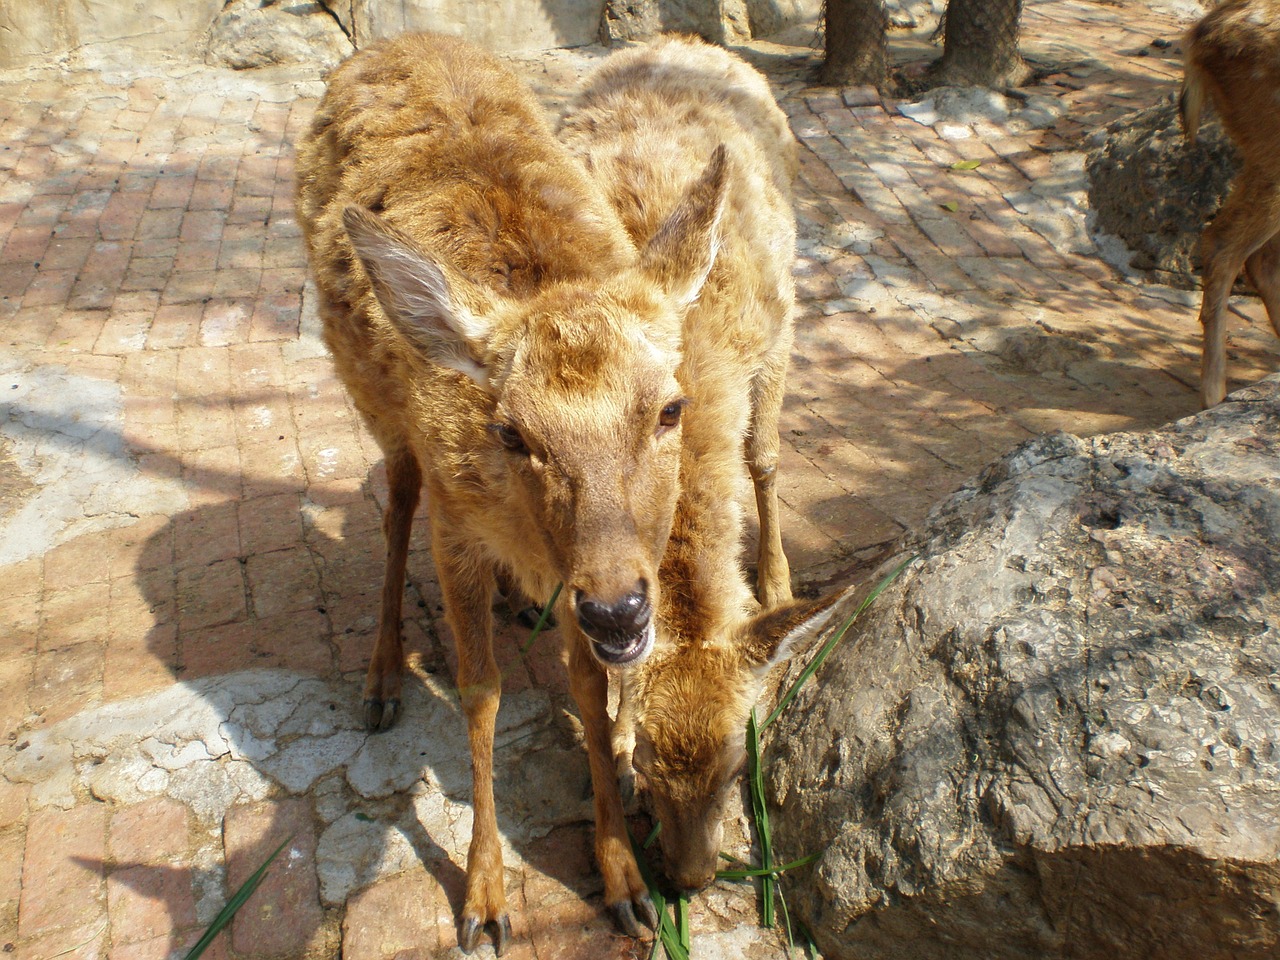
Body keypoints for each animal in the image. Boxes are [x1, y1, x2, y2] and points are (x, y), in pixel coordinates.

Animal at [291, 33, 732, 957]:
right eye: (511, 433)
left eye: (670, 407)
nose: (620, 609)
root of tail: (387, 40)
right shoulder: (459, 528)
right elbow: (480, 691)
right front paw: (485, 900)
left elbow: (590, 693)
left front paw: (625, 882)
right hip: (373, 405)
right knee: (394, 510)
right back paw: (381, 680)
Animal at [560, 33, 849, 901]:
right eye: (650, 776)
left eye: (734, 766)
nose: (689, 882)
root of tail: (676, 38)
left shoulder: (773, 335)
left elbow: (763, 455)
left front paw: (777, 589)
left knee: (768, 457)